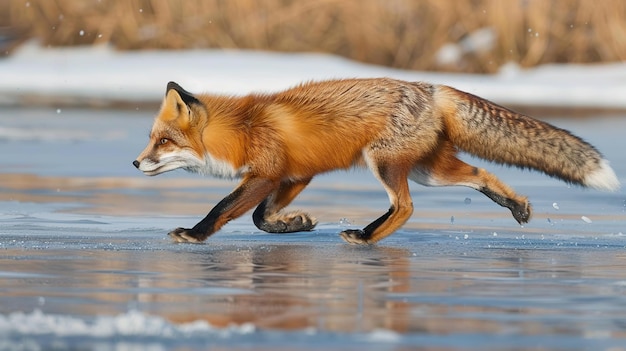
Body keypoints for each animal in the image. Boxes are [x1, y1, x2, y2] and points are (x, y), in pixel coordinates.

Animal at [133, 79, 620, 245]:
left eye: (163, 141)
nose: (135, 164)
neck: (243, 128)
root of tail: (432, 88)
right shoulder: (296, 175)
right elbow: (258, 217)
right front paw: (295, 225)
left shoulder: (267, 173)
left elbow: (225, 209)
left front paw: (195, 234)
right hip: (429, 171)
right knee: (480, 173)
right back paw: (516, 206)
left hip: (386, 164)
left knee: (404, 207)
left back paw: (367, 237)